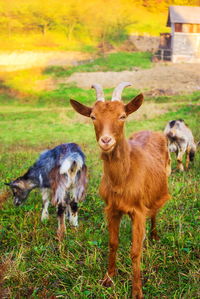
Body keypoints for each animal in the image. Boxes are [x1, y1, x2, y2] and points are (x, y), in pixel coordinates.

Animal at [70, 82, 170, 299]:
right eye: (93, 116)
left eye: (123, 115)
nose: (106, 141)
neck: (122, 178)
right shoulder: (112, 209)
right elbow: (113, 243)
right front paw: (108, 278)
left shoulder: (138, 211)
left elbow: (135, 250)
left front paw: (137, 290)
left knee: (154, 211)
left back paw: (154, 236)